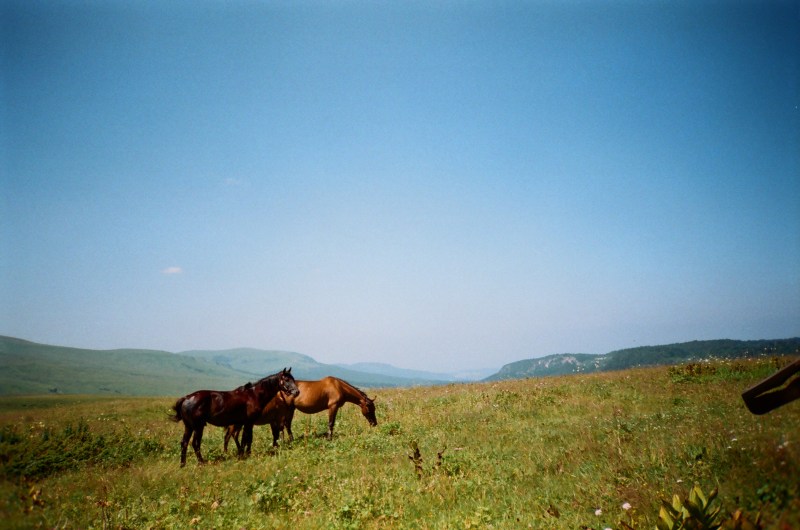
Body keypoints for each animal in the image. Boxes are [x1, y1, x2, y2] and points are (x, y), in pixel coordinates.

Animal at [172, 366, 300, 464]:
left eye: (293, 379)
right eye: (287, 379)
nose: (297, 392)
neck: (253, 395)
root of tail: (186, 398)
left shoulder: (246, 423)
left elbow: (247, 439)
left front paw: (244, 454)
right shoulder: (248, 422)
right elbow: (246, 438)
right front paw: (244, 455)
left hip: (189, 427)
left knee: (184, 443)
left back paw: (183, 464)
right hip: (198, 427)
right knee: (195, 443)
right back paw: (201, 462)